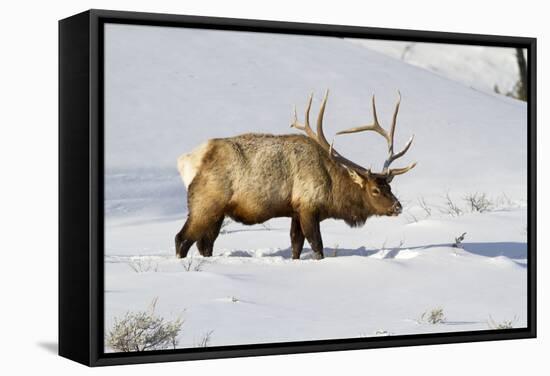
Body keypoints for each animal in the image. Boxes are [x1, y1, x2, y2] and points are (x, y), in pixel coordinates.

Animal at [177, 91, 418, 260]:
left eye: (389, 186)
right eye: (375, 190)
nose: (397, 206)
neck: (333, 192)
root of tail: (186, 161)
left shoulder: (295, 210)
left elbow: (296, 247)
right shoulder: (309, 207)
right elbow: (317, 247)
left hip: (218, 211)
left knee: (205, 244)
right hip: (205, 202)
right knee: (182, 239)